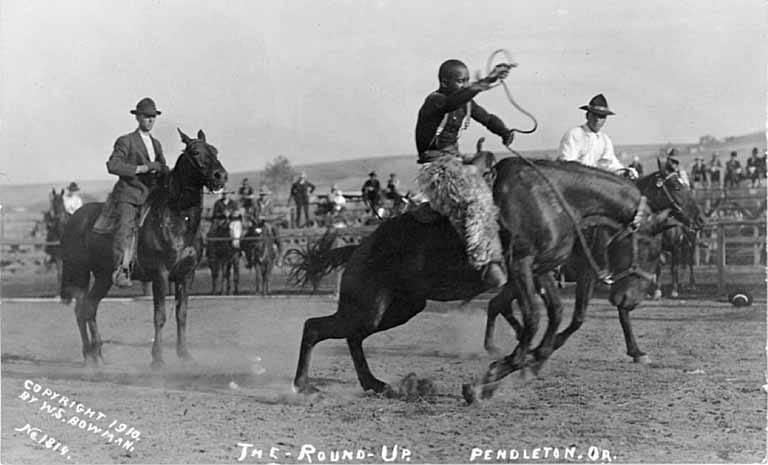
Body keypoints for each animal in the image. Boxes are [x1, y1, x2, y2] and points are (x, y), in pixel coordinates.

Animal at [60, 129, 228, 364]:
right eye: (195, 152)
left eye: (215, 150)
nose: (220, 176)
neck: (177, 220)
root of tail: (74, 218)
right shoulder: (160, 274)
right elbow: (160, 316)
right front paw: (157, 359)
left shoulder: (187, 275)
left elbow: (182, 315)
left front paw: (184, 355)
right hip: (80, 273)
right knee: (81, 309)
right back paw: (89, 356)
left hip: (103, 276)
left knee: (89, 308)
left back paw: (98, 355)